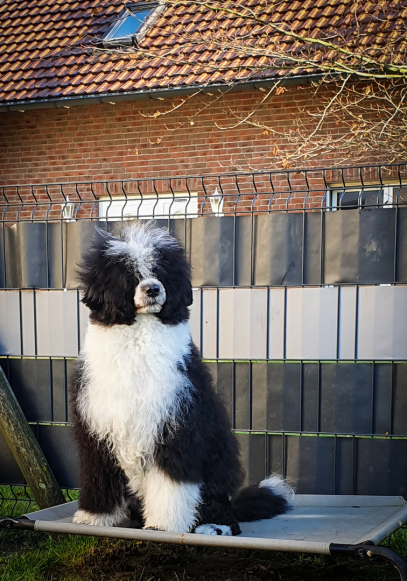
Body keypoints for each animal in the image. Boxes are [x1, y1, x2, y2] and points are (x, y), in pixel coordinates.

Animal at [71, 221, 293, 535]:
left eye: (161, 270)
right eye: (128, 273)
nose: (153, 288)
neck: (140, 341)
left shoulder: (175, 427)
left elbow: (171, 486)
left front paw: (164, 525)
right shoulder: (98, 430)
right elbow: (98, 477)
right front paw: (93, 517)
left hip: (216, 475)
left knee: (223, 512)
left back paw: (212, 527)